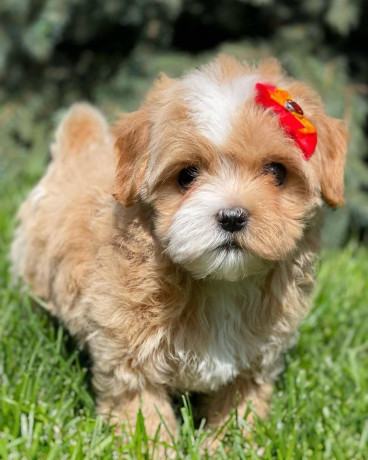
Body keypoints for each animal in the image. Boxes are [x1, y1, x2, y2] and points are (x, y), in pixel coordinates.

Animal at [10, 54, 346, 446]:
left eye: (277, 172)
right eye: (186, 175)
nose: (232, 216)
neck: (220, 283)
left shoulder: (255, 360)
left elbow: (239, 409)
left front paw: (230, 446)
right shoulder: (129, 354)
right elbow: (142, 412)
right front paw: (152, 448)